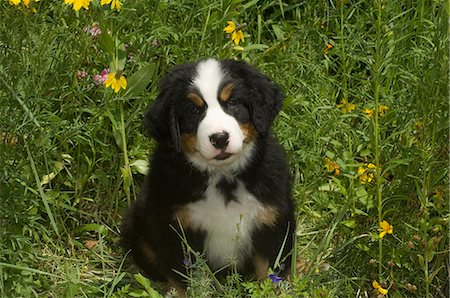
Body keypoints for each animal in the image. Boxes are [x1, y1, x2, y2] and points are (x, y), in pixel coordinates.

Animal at [121, 58, 296, 296]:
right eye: (194, 110)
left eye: (232, 102)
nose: (220, 138)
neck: (222, 176)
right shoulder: (175, 232)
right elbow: (187, 283)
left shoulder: (272, 226)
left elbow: (270, 275)